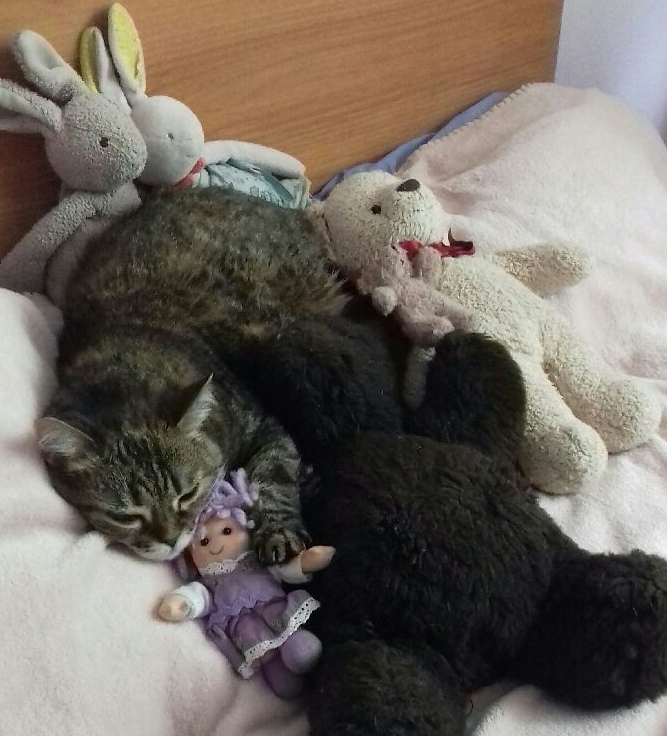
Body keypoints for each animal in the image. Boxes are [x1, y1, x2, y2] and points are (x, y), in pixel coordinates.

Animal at [36, 187, 348, 563]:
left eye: (188, 494)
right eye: (125, 517)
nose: (171, 540)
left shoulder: (264, 425)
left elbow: (273, 478)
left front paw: (279, 529)